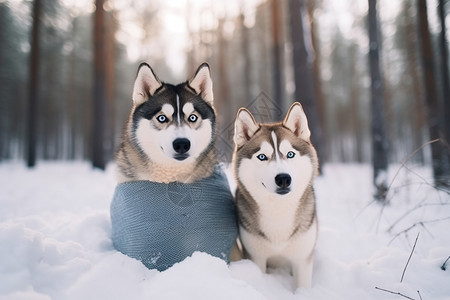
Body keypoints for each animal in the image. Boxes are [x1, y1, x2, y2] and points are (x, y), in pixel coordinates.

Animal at [232, 102, 320, 288]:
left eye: (290, 154)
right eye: (262, 157)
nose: (283, 179)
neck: (279, 210)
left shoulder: (302, 259)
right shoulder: (256, 257)